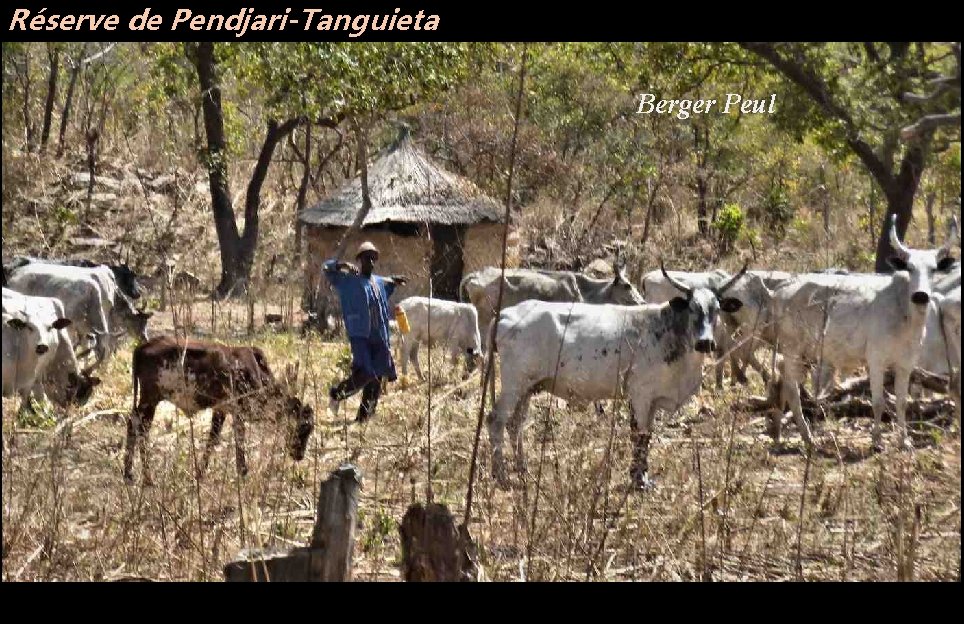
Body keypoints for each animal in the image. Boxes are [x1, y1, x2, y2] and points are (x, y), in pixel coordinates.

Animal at [123, 334, 312, 486]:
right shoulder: (238, 410)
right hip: (150, 400)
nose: (299, 455)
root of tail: (142, 347)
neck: (257, 374)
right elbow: (239, 440)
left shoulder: (221, 410)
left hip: (147, 401)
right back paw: (146, 478)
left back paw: (129, 474)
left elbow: (213, 439)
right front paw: (243, 472)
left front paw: (200, 473)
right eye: (304, 427)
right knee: (141, 429)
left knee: (133, 424)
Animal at [490, 260, 744, 490]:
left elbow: (647, 435)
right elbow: (639, 436)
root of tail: (505, 315)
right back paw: (500, 476)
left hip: (527, 388)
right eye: (692, 309)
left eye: (717, 310)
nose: (705, 342)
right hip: (514, 385)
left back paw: (522, 469)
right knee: (497, 420)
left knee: (515, 424)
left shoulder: (652, 401)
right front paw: (638, 480)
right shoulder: (640, 396)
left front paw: (643, 477)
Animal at [768, 217, 956, 450]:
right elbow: (878, 402)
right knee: (792, 390)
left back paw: (778, 434)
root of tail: (780, 289)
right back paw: (807, 437)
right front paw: (876, 440)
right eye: (910, 268)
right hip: (791, 348)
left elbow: (902, 402)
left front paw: (904, 441)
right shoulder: (875, 360)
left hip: (801, 354)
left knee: (783, 384)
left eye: (933, 269)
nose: (921, 295)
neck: (904, 313)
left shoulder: (905, 364)